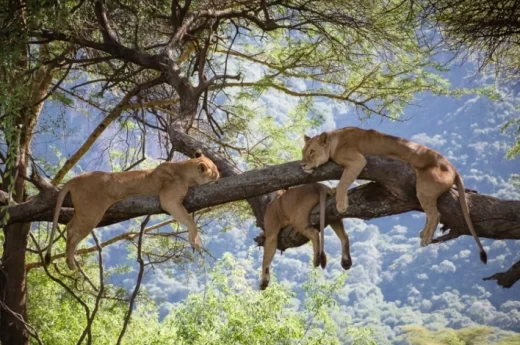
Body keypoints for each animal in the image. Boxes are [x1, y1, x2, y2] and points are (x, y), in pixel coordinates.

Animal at [44, 150, 219, 268]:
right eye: (215, 173)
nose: (219, 175)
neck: (184, 169)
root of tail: (76, 178)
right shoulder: (168, 199)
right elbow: (189, 219)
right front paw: (195, 241)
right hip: (91, 213)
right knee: (73, 231)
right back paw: (71, 263)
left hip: (83, 211)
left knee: (69, 226)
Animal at [300, 127, 488, 264]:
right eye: (303, 151)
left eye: (312, 152)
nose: (302, 165)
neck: (334, 140)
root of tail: (451, 166)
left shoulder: (357, 161)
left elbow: (343, 183)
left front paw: (341, 204)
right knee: (430, 213)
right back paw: (423, 233)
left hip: (424, 187)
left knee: (435, 214)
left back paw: (426, 238)